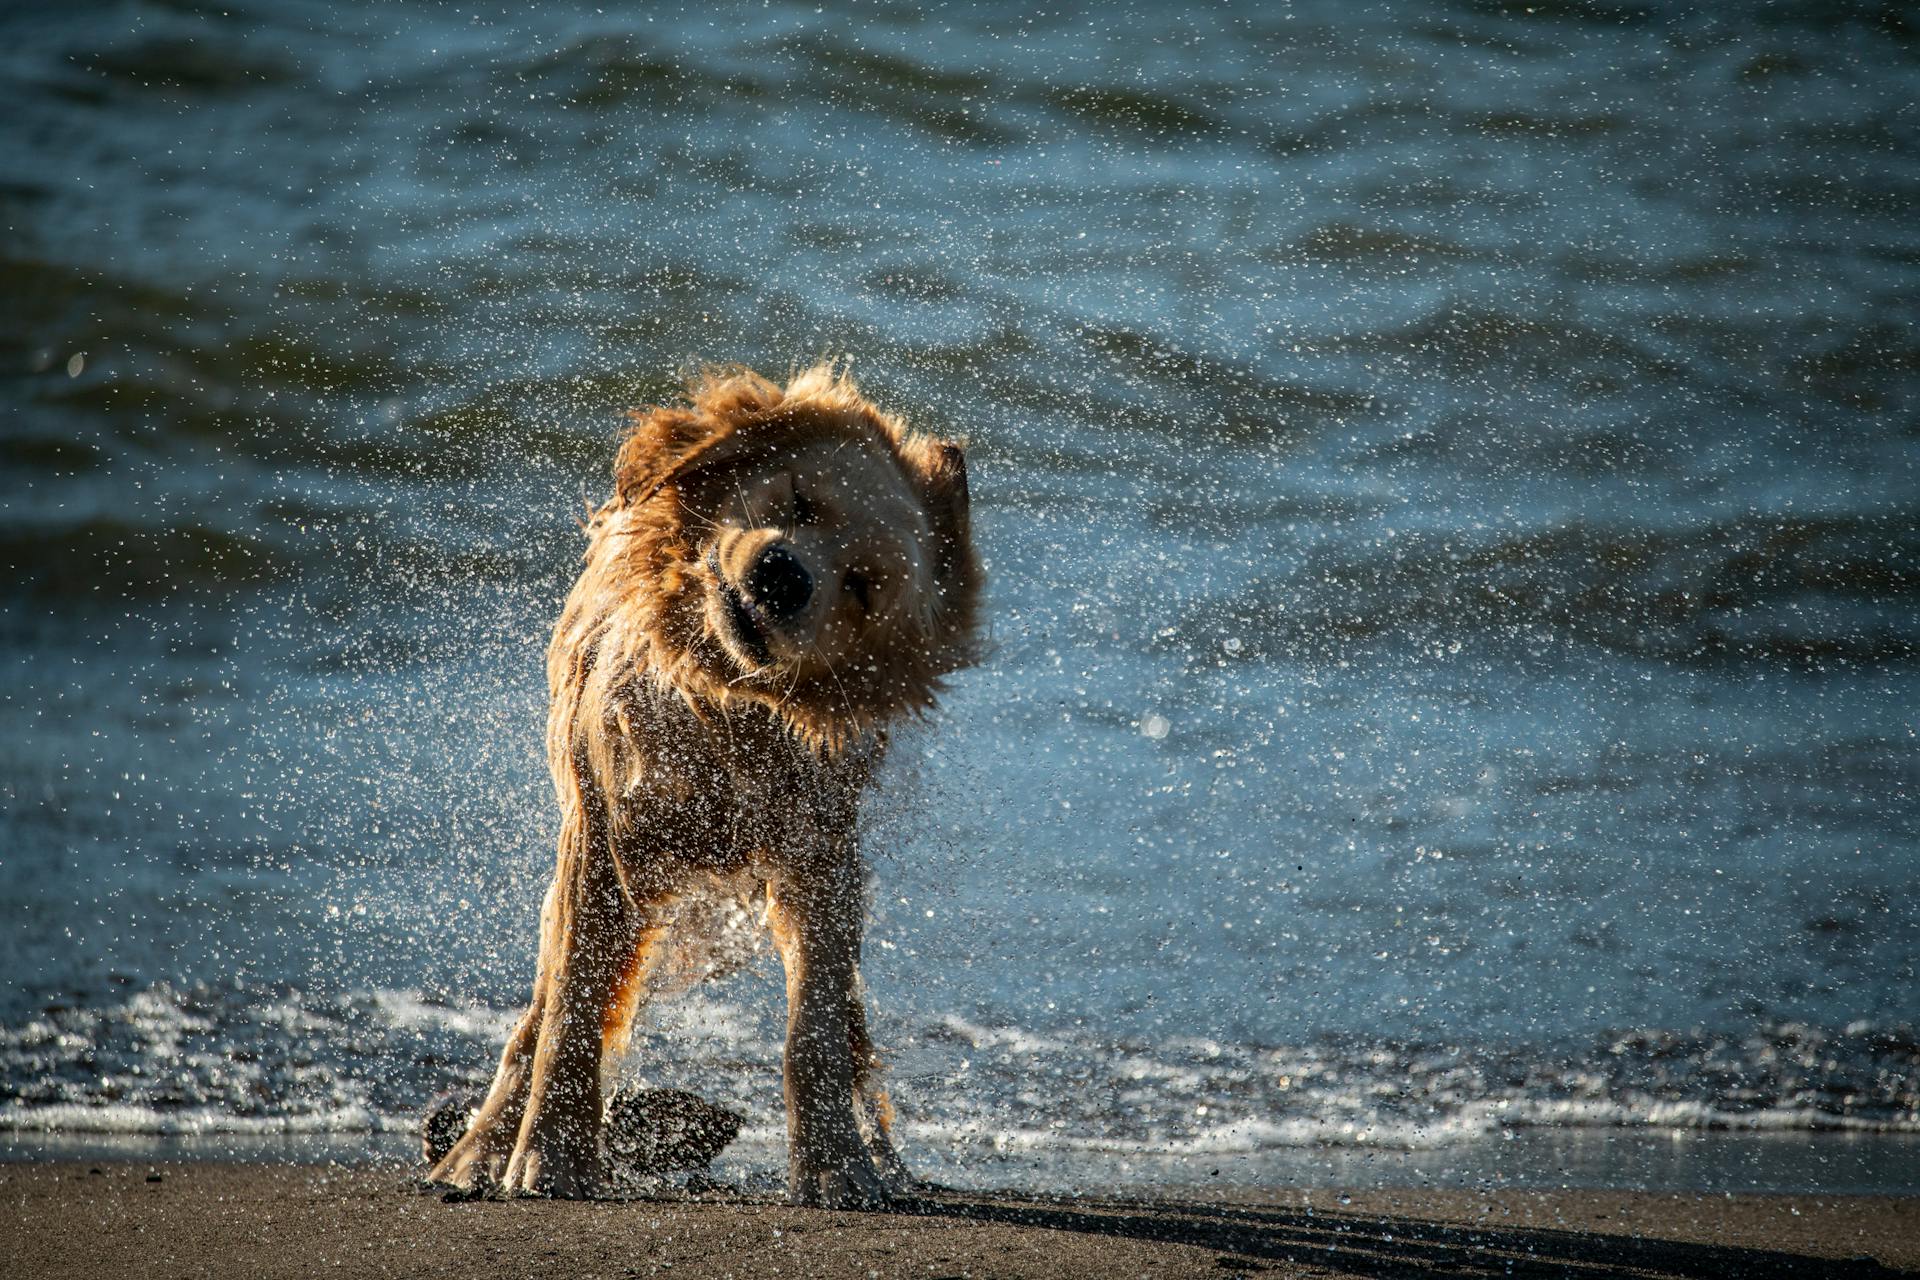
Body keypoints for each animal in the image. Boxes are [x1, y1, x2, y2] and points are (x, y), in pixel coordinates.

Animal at [430, 364, 983, 1205]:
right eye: (798, 500)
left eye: (861, 587)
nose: (784, 575)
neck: (723, 705)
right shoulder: (607, 830)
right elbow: (572, 1005)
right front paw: (550, 1154)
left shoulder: (818, 852)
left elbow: (817, 1024)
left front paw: (836, 1162)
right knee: (536, 1013)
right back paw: (475, 1151)